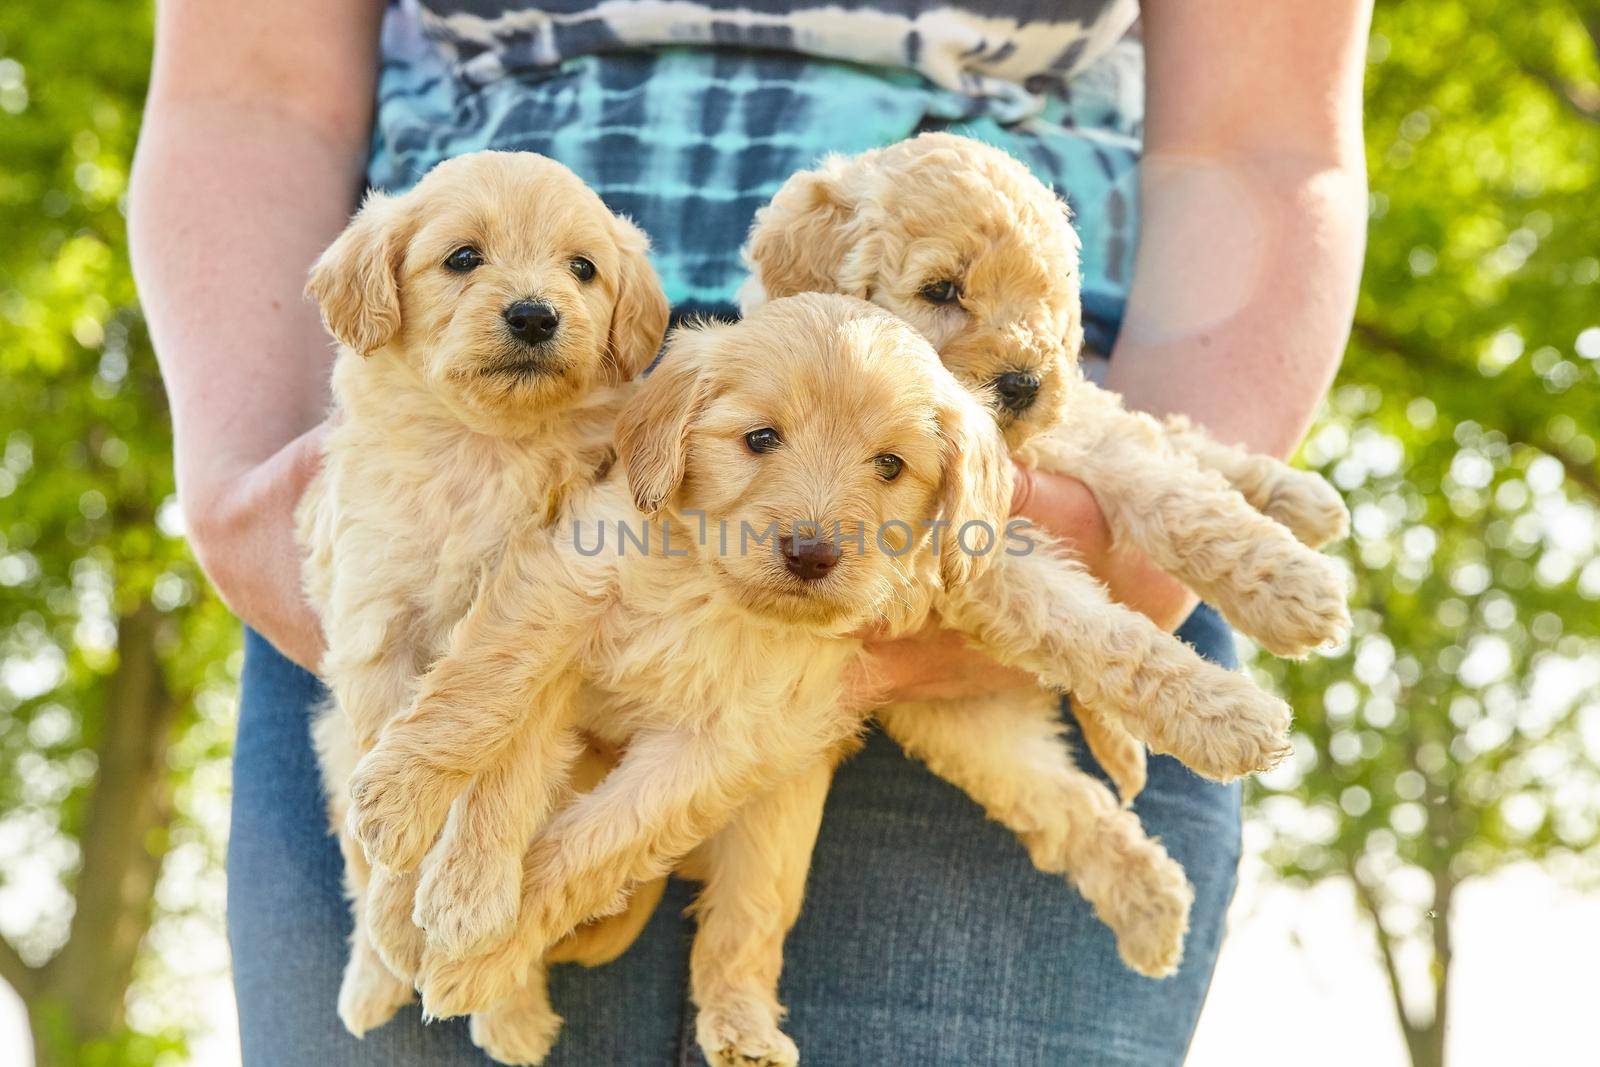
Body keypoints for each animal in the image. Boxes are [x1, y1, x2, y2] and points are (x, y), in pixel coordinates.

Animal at [291, 150, 665, 1049]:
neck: (483, 448)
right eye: (463, 258)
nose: (533, 314)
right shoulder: (374, 629)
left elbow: (504, 755)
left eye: (582, 269)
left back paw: (512, 1013)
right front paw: (401, 918)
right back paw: (371, 978)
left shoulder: (547, 620)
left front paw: (468, 900)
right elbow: (396, 768)